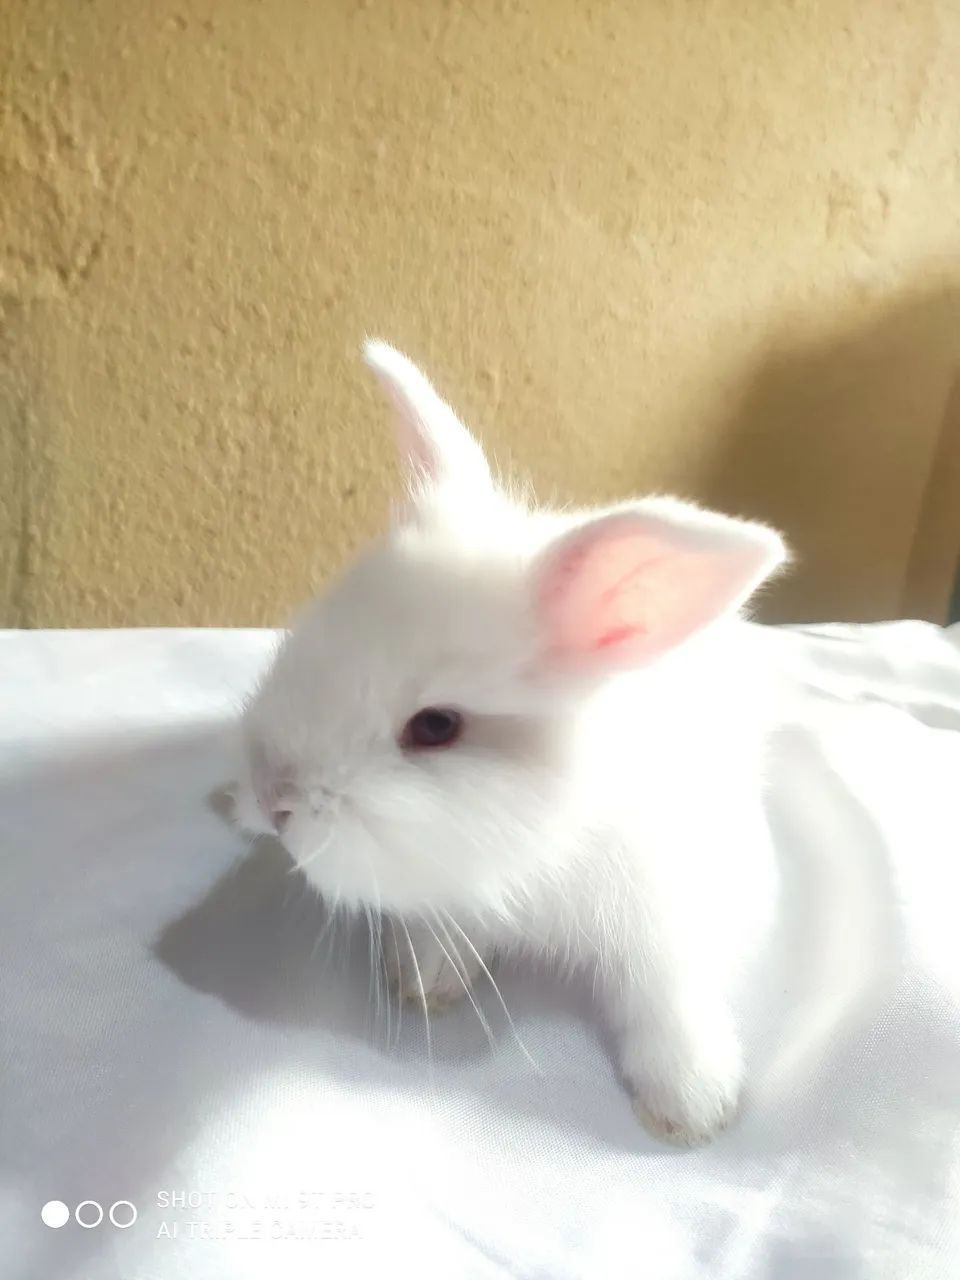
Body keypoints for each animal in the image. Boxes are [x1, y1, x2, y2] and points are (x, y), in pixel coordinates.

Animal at [232, 340, 788, 1147]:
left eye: (436, 727)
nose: (274, 797)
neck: (538, 852)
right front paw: (426, 980)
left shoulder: (675, 907)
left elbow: (669, 994)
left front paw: (690, 1105)